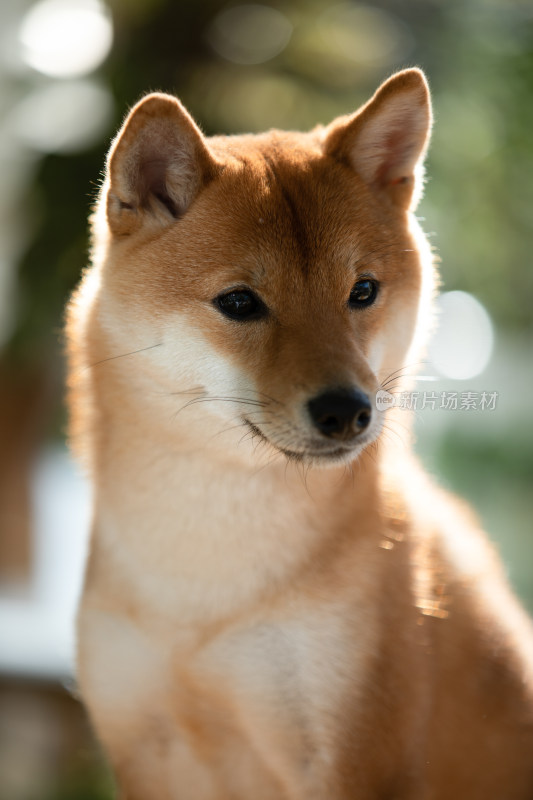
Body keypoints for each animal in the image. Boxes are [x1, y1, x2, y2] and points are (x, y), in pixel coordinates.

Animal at [66, 70, 532, 800]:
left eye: (362, 291)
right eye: (239, 303)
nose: (347, 410)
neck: (202, 581)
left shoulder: (353, 761)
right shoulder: (146, 751)